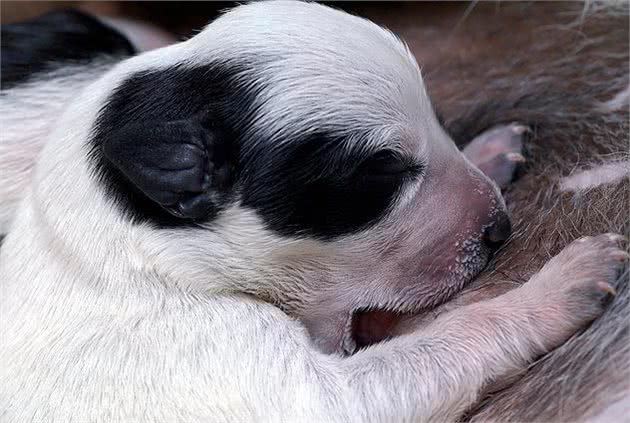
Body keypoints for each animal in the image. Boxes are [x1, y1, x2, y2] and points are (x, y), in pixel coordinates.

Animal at [0, 1, 628, 422]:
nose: (499, 229)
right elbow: (439, 344)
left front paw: (488, 152)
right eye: (381, 177)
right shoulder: (258, 377)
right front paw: (562, 282)